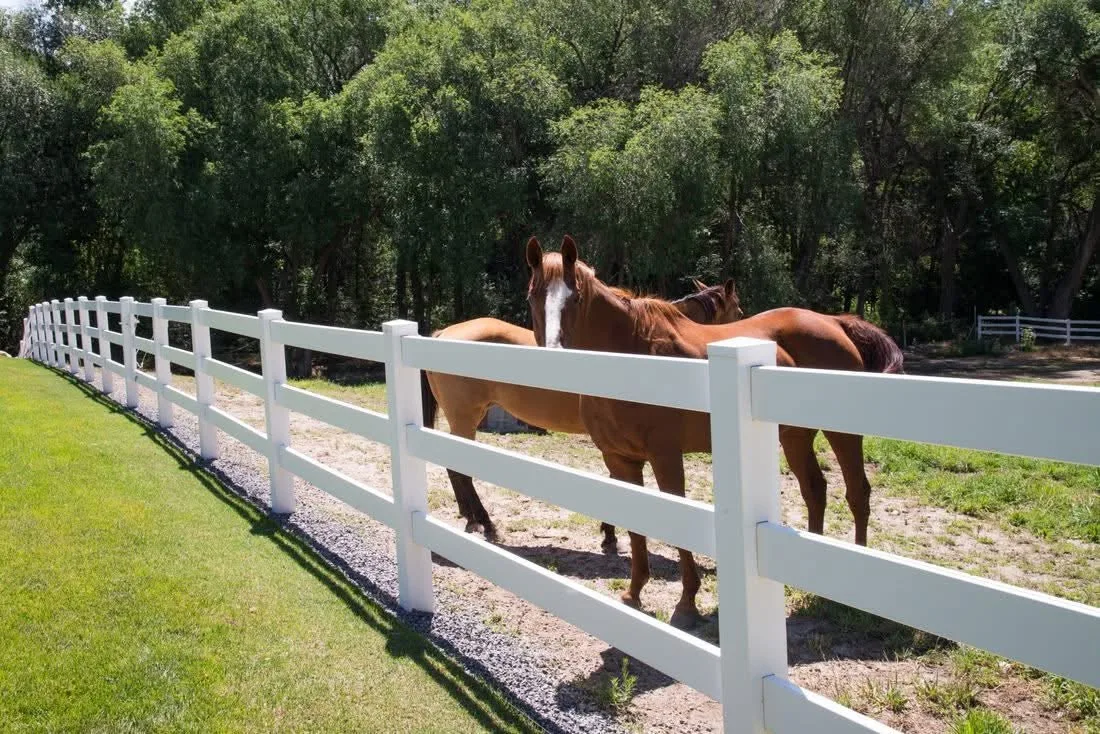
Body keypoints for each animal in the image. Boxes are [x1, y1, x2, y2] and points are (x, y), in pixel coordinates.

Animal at [421, 279, 744, 540]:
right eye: (738, 311)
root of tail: (443, 333)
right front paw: (610, 535)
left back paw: (471, 517)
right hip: (465, 418)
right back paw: (482, 522)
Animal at [525, 235, 904, 628]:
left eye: (575, 298)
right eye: (532, 296)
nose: (552, 356)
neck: (631, 356)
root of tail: (835, 323)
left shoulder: (665, 456)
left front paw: (687, 604)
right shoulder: (619, 459)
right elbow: (635, 526)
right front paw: (634, 593)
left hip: (842, 434)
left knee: (857, 492)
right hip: (794, 435)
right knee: (815, 489)